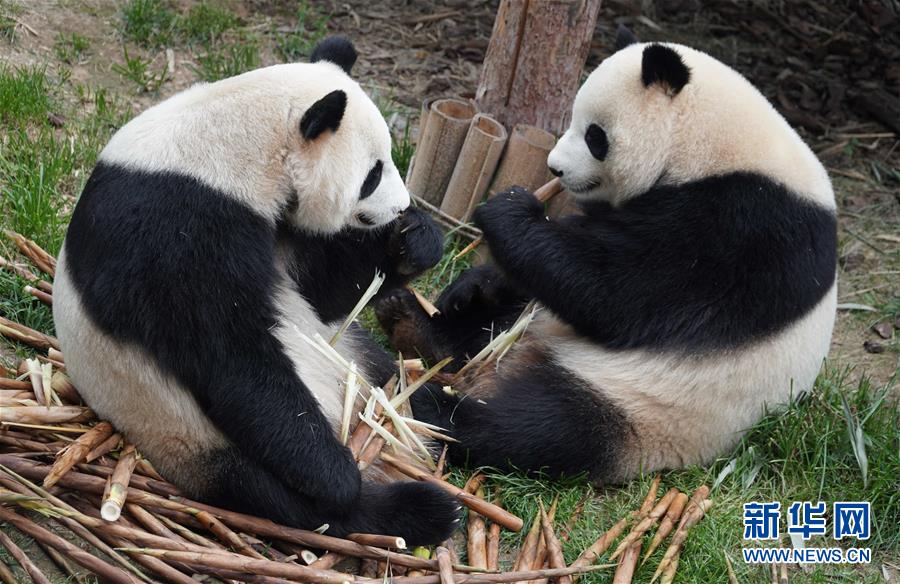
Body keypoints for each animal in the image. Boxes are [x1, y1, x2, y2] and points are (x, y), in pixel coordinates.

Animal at [54, 38, 464, 544]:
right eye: (372, 174)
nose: (401, 206)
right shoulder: (173, 226)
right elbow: (231, 355)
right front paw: (337, 475)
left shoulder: (280, 224)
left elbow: (323, 293)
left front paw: (414, 241)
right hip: (184, 432)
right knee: (288, 500)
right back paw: (418, 508)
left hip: (355, 358)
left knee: (412, 391)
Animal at [376, 34, 840, 484]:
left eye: (594, 135)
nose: (555, 168)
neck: (717, 145)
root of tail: (526, 357)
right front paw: (472, 284)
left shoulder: (746, 227)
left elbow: (620, 292)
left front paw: (507, 211)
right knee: (499, 326)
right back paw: (414, 324)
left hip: (648, 406)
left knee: (544, 427)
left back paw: (433, 406)